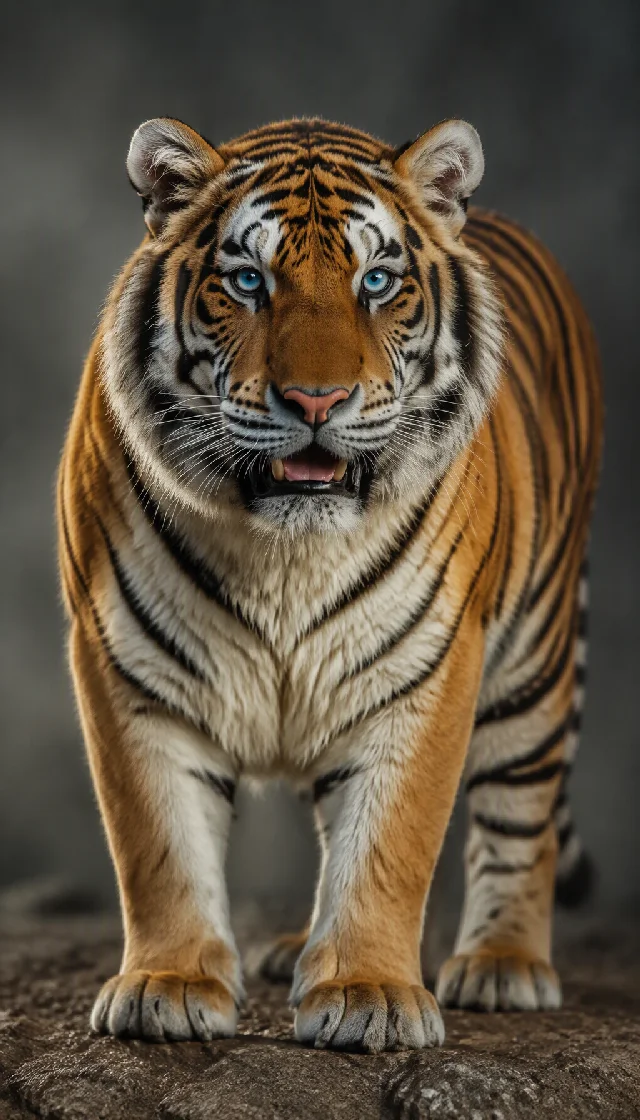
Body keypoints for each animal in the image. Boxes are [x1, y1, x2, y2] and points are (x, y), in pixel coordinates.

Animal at [58, 114, 602, 1053]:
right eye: (247, 281)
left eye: (377, 282)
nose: (317, 400)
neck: (286, 554)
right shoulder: (124, 662)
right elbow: (158, 840)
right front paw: (170, 983)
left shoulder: (427, 668)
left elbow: (390, 844)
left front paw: (366, 992)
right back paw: (290, 949)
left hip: (535, 663)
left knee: (519, 815)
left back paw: (502, 964)